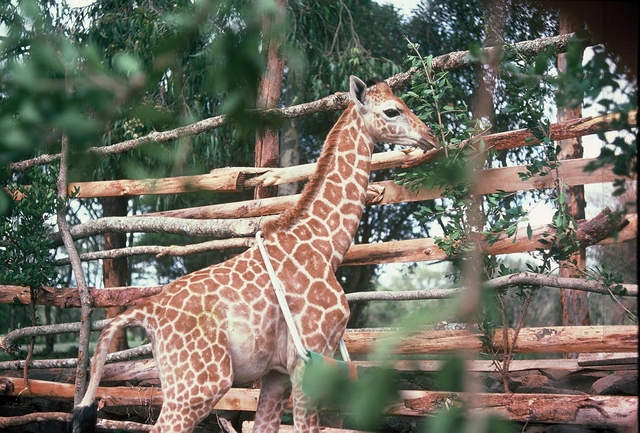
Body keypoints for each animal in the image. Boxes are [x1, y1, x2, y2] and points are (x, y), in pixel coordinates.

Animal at [71, 76, 440, 430]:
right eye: (392, 110)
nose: (430, 136)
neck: (326, 247)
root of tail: (147, 313)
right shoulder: (309, 358)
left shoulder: (277, 372)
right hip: (200, 384)